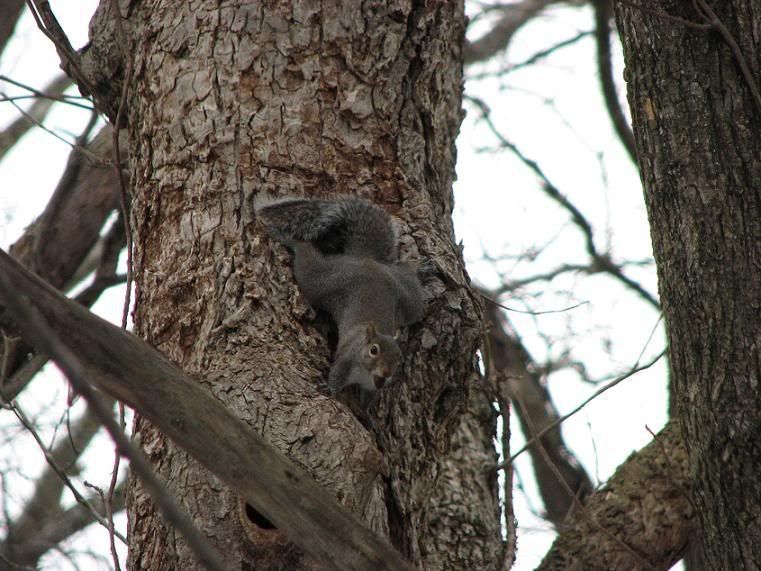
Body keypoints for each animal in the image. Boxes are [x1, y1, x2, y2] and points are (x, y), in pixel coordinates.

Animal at [255, 196, 425, 406]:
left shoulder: (374, 385)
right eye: (374, 350)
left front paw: (366, 412)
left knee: (409, 277)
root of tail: (365, 259)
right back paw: (288, 238)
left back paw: (424, 269)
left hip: (407, 299)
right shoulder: (346, 360)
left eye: (399, 357)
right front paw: (331, 388)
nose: (386, 372)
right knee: (306, 258)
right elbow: (336, 374)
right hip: (323, 281)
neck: (366, 373)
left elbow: (370, 398)